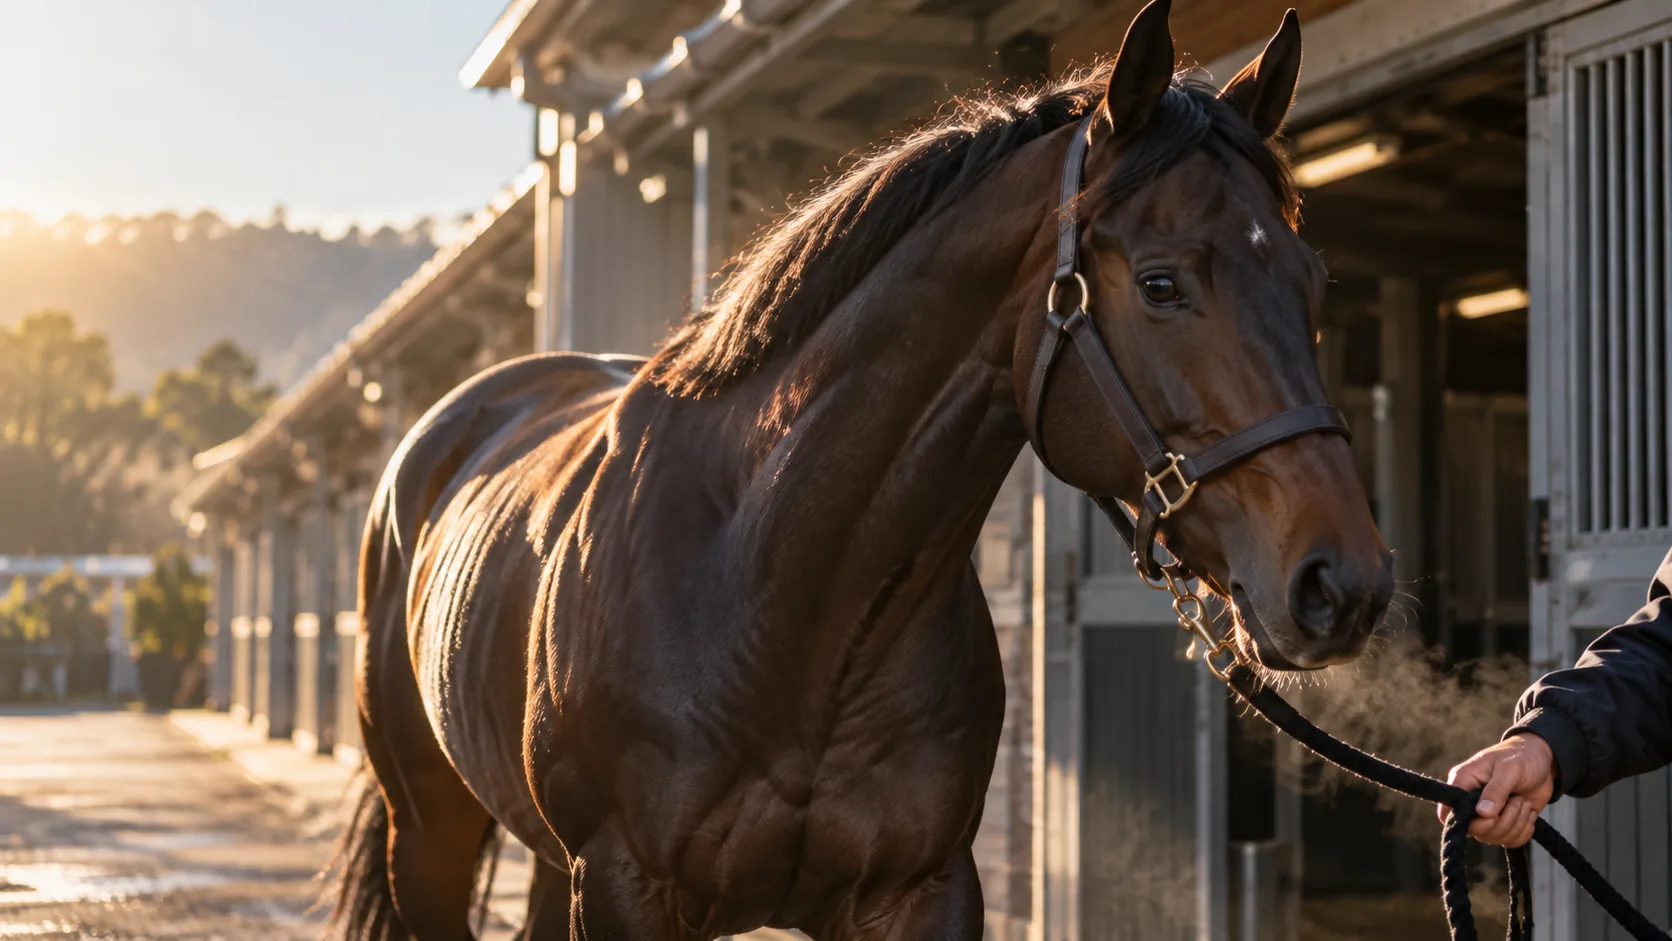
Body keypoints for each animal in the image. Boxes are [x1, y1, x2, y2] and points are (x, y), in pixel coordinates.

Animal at [326, 2, 1393, 937]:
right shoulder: (628, 887)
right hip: (430, 835)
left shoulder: (921, 893)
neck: (784, 598)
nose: (1343, 584)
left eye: (1312, 280)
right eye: (1163, 283)